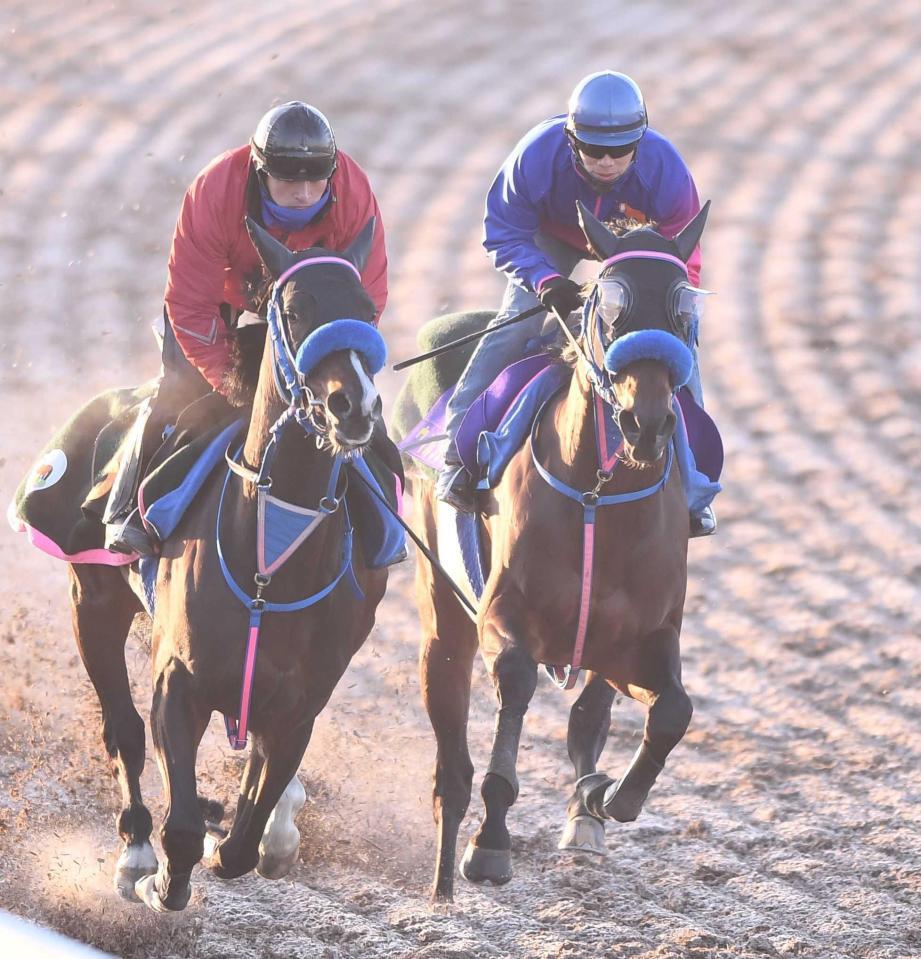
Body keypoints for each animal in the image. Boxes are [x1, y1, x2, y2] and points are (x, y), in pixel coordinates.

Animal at [69, 219, 392, 916]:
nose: (353, 407)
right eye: (295, 310)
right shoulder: (178, 681)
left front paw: (251, 833)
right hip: (94, 602)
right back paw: (136, 849)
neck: (270, 563)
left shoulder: (298, 706)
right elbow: (182, 827)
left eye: (369, 311)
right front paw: (161, 876)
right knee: (121, 727)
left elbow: (243, 840)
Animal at [406, 201, 708, 900]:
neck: (599, 496)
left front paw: (607, 800)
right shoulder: (503, 618)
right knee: (450, 756)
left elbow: (672, 711)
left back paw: (585, 814)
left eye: (683, 310)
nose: (647, 424)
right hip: (443, 614)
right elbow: (512, 696)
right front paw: (490, 844)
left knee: (589, 717)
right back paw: (442, 885)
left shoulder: (637, 640)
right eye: (610, 309)